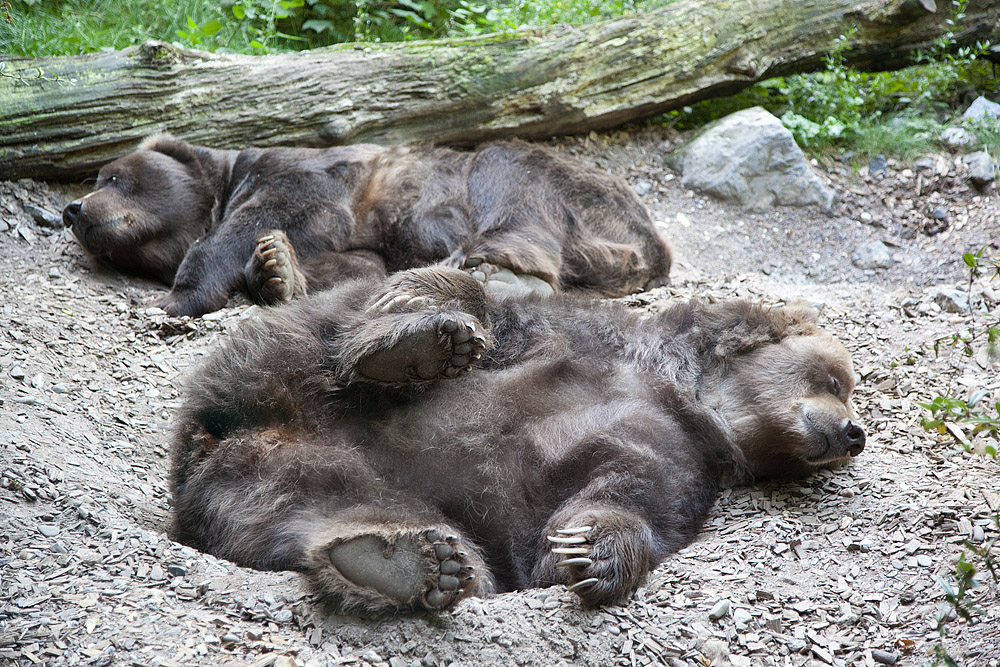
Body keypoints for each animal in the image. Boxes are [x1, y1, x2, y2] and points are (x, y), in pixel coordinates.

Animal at [64, 135, 672, 318]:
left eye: (113, 176)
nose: (72, 209)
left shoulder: (303, 179)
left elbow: (261, 219)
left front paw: (177, 297)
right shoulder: (361, 238)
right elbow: (350, 266)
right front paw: (276, 271)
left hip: (578, 192)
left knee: (509, 177)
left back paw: (494, 270)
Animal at [168, 264, 864, 616]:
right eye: (835, 378)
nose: (853, 433)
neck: (675, 387)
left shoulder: (672, 448)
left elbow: (631, 492)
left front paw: (589, 551)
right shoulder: (561, 337)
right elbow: (480, 300)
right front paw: (431, 336)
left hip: (279, 476)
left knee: (328, 506)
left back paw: (405, 563)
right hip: (272, 375)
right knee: (318, 345)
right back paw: (407, 351)